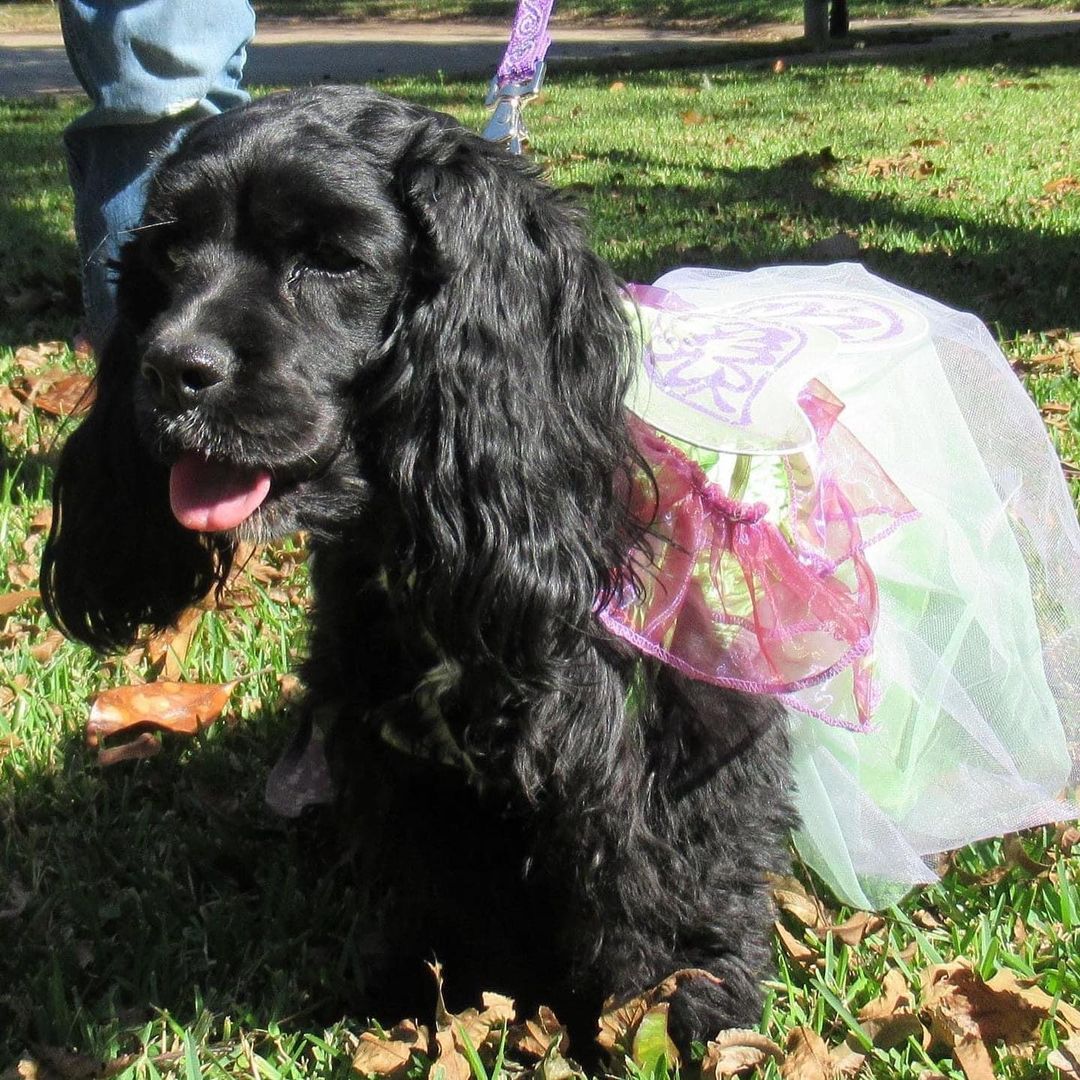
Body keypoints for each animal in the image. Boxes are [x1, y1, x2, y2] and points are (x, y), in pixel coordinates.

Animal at [42, 86, 794, 1054]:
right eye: (169, 251)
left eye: (332, 260)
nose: (171, 369)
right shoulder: (406, 756)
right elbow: (435, 888)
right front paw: (423, 997)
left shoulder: (678, 736)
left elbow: (675, 889)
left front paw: (679, 1020)